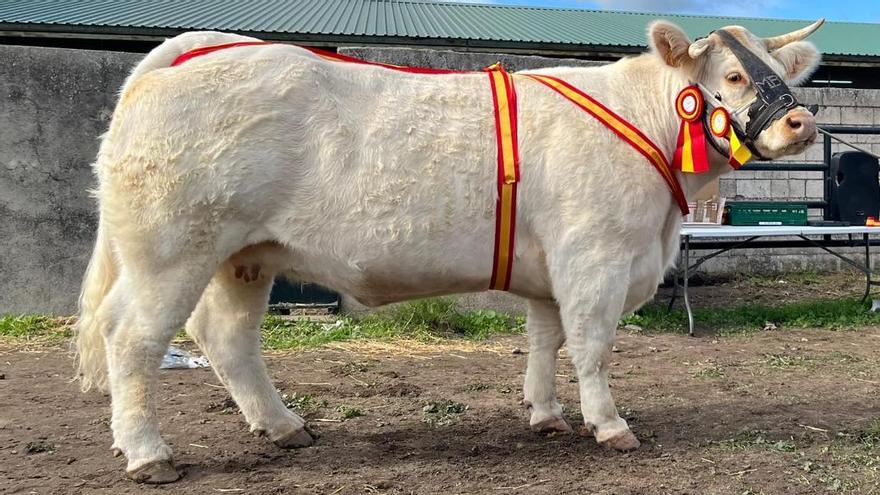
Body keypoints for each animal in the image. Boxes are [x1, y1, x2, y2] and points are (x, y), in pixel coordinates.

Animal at [75, 20, 824, 484]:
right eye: (732, 77)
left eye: (780, 73)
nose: (800, 122)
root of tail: (195, 51)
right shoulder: (595, 257)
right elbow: (592, 346)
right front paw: (610, 425)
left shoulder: (551, 272)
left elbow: (545, 341)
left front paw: (545, 415)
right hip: (172, 249)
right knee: (133, 338)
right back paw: (148, 454)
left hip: (245, 257)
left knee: (226, 338)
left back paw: (285, 426)